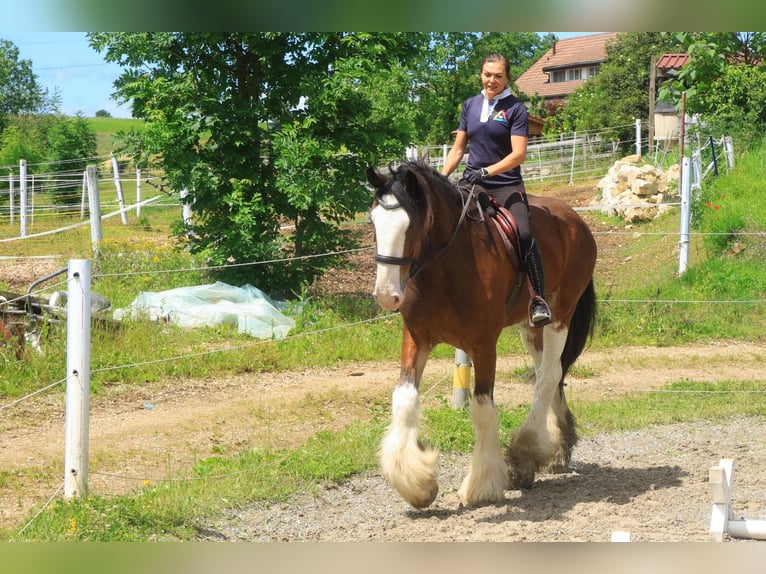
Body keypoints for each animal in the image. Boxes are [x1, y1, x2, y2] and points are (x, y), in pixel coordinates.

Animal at [365, 161, 597, 509]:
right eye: (374, 220)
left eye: (412, 225)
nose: (386, 296)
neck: (446, 269)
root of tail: (575, 218)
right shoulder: (417, 338)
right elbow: (404, 400)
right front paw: (415, 483)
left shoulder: (484, 345)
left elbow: (482, 409)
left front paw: (481, 484)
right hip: (531, 328)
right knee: (551, 372)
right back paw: (556, 449)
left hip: (560, 314)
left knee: (548, 376)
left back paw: (524, 452)